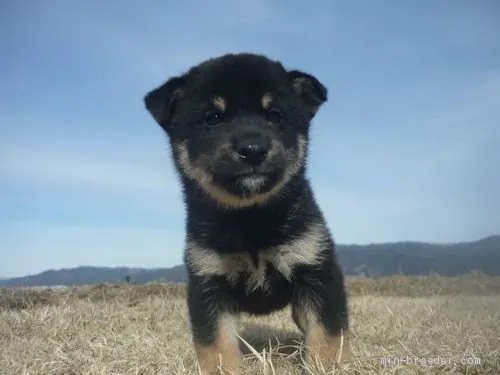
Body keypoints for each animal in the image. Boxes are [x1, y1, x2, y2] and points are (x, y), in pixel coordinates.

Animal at [143, 53, 350, 375]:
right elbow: (215, 344)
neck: (250, 219)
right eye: (213, 118)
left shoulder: (317, 269)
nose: (253, 149)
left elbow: (327, 334)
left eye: (274, 115)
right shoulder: (208, 283)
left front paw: (329, 365)